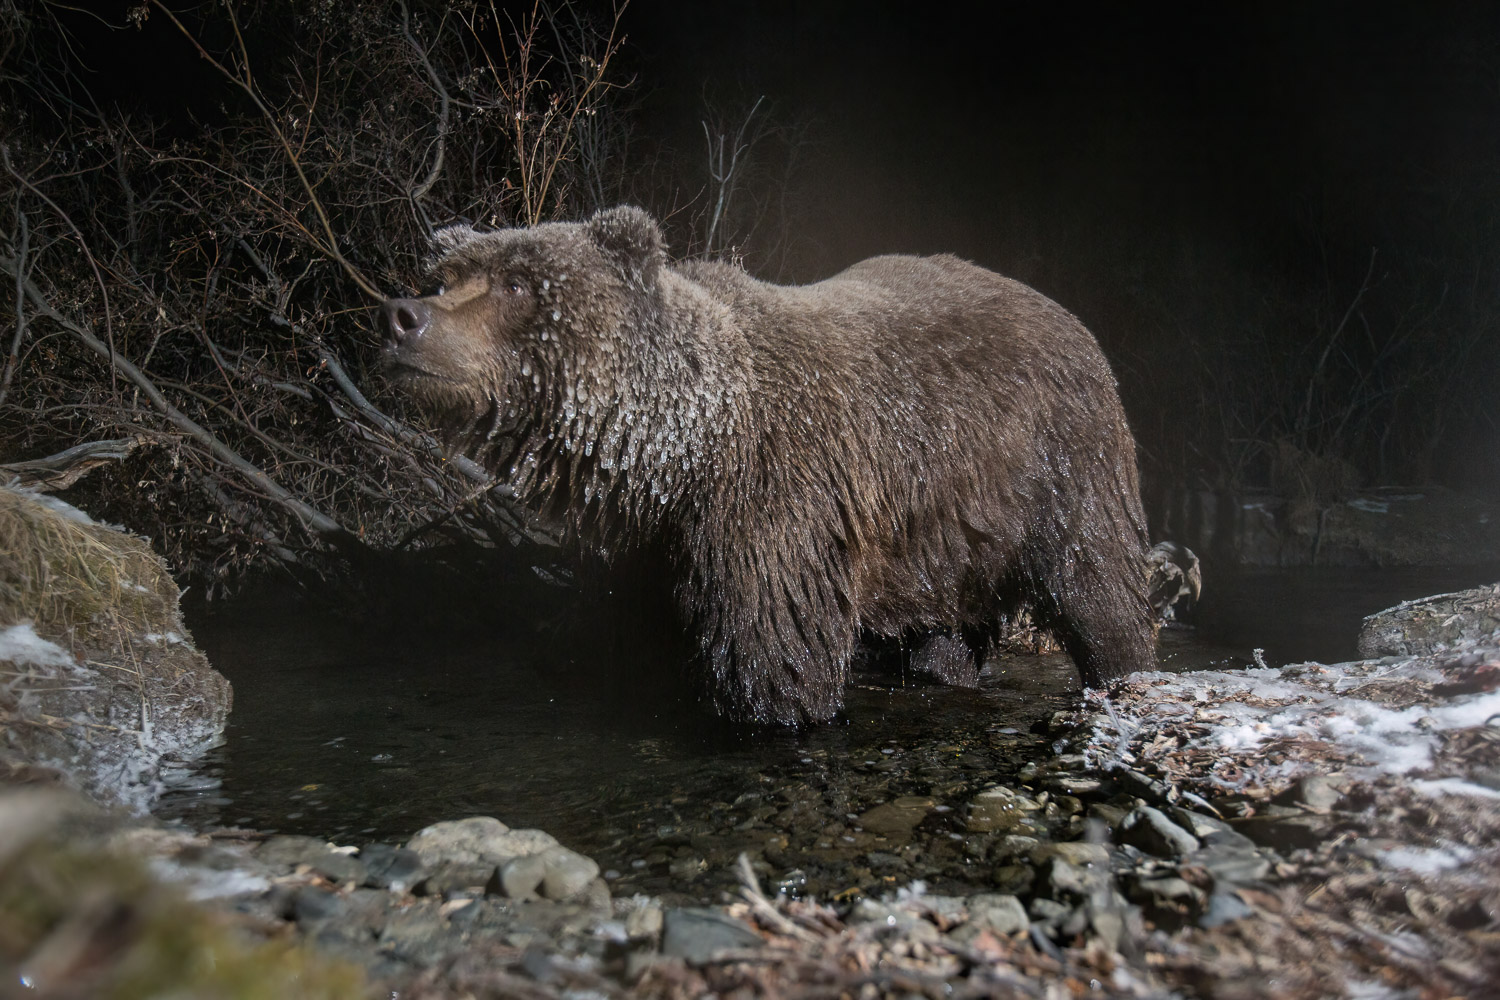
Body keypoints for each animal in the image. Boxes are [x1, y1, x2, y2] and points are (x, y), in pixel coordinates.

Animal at [381, 203, 1152, 722]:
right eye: (444, 276)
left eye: (517, 283)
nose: (403, 316)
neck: (684, 447)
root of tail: (1071, 319)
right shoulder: (654, 543)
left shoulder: (773, 499)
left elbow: (775, 659)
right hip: (943, 535)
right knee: (944, 634)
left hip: (1059, 463)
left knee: (1100, 588)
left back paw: (1122, 669)